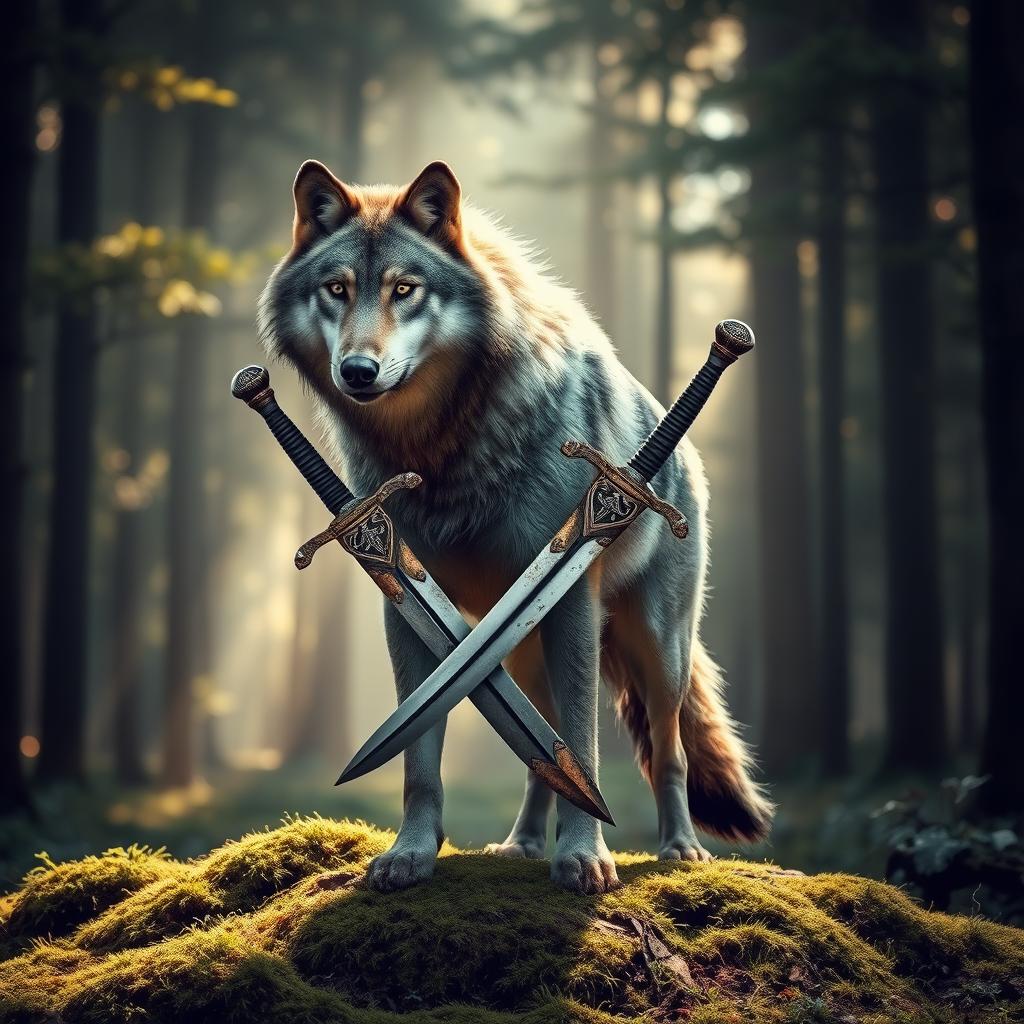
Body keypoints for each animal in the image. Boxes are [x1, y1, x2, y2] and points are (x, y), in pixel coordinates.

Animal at [258, 160, 773, 894]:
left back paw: (681, 848)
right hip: (521, 652)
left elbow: (582, 742)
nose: (358, 371)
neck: (443, 447)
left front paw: (585, 857)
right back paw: (522, 844)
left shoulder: (576, 600)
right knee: (540, 750)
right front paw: (410, 855)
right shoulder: (402, 599)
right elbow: (420, 758)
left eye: (404, 290)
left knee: (666, 749)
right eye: (337, 289)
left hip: (658, 645)